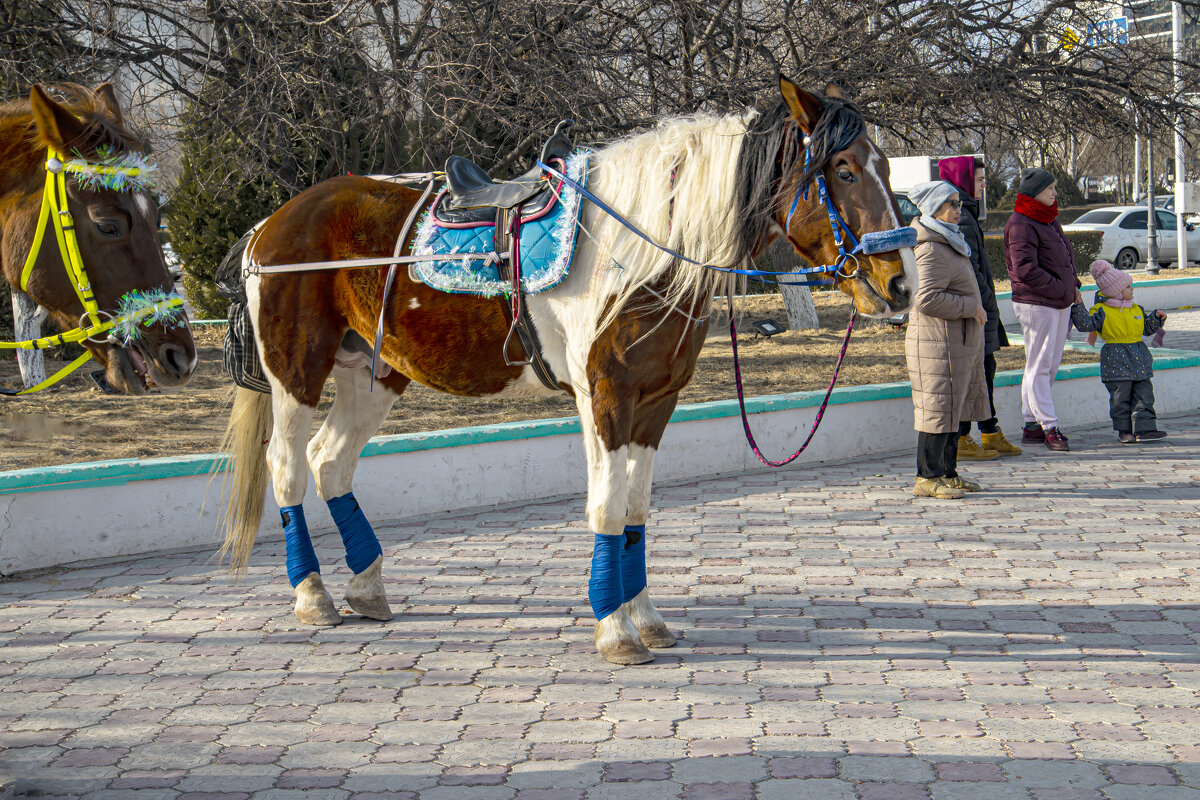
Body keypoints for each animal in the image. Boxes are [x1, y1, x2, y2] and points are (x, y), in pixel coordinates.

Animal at [223, 77, 916, 666]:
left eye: (886, 166)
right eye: (844, 169)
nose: (900, 283)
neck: (639, 251)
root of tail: (268, 225)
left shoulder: (656, 403)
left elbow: (636, 510)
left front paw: (646, 617)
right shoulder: (605, 398)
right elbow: (607, 508)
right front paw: (614, 629)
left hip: (374, 374)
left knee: (330, 462)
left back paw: (366, 588)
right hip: (297, 371)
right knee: (288, 467)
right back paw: (312, 595)